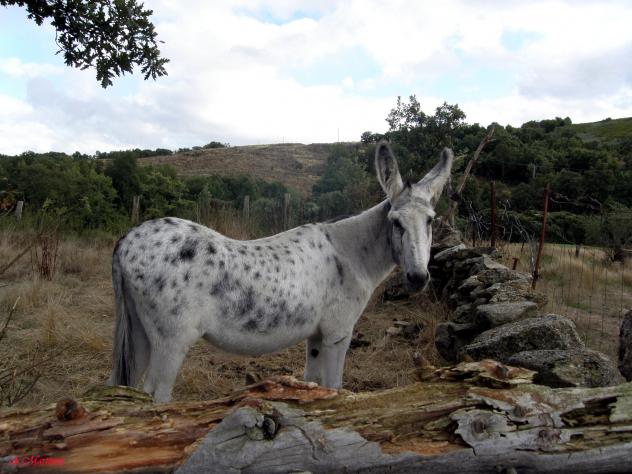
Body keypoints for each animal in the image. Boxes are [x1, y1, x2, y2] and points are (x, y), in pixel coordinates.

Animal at [108, 140, 453, 402]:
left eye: (430, 221)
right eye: (396, 222)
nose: (418, 278)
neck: (351, 253)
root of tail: (127, 239)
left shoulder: (316, 336)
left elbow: (313, 382)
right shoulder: (338, 334)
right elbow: (334, 387)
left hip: (140, 333)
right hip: (172, 341)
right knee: (155, 396)